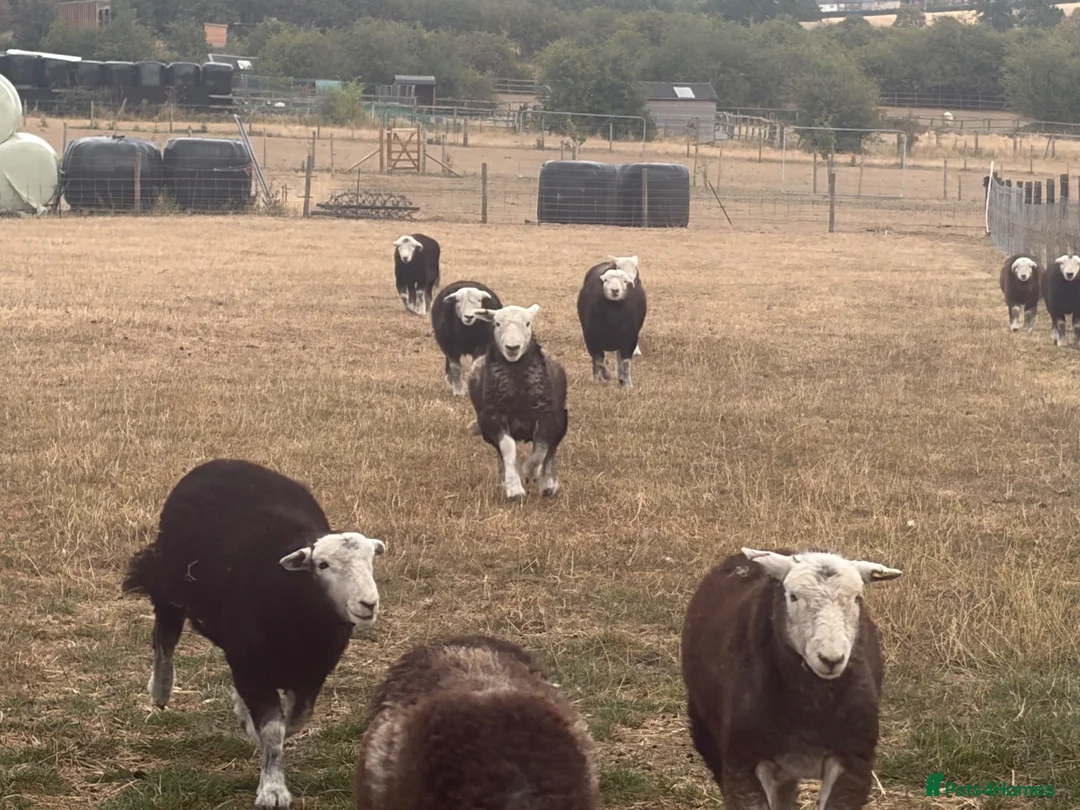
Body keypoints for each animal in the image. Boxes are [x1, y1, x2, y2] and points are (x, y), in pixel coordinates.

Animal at [120, 458, 386, 810]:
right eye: (323, 565)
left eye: (371, 562)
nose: (367, 603)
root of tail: (224, 461)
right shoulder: (252, 665)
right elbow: (273, 730)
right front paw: (273, 789)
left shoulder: (311, 673)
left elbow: (293, 720)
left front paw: (257, 735)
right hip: (171, 583)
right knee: (165, 636)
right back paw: (161, 689)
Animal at [467, 304, 568, 501]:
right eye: (497, 323)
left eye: (528, 323)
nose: (512, 347)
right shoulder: (494, 417)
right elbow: (508, 449)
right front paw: (514, 488)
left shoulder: (547, 416)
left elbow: (541, 449)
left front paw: (529, 472)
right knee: (501, 454)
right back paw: (506, 480)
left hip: (561, 419)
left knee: (551, 449)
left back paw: (548, 484)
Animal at [576, 255, 647, 388]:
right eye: (605, 280)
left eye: (625, 281)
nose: (615, 290)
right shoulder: (591, 338)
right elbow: (599, 360)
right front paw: (606, 376)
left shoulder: (629, 339)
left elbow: (625, 363)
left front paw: (627, 384)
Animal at [680, 547, 902, 810]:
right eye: (793, 597)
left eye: (857, 598)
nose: (831, 659)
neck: (810, 705)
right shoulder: (744, 761)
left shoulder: (854, 762)